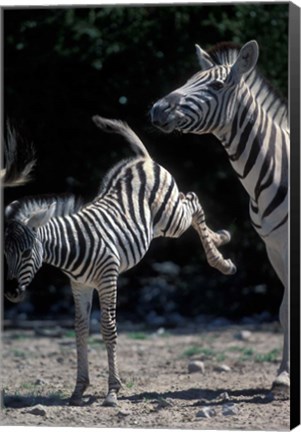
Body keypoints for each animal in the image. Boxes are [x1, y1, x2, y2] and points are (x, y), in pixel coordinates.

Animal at [3, 116, 236, 406]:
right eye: (4, 253)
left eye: (25, 253)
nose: (11, 293)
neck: (72, 247)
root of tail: (141, 159)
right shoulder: (80, 285)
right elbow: (80, 330)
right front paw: (79, 389)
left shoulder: (108, 278)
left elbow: (107, 328)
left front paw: (113, 391)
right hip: (160, 223)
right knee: (188, 200)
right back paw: (220, 238)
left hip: (171, 219)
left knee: (192, 201)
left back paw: (220, 257)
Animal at [151, 39, 290, 394]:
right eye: (189, 79)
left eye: (215, 86)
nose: (157, 109)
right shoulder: (274, 246)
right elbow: (286, 310)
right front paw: (284, 375)